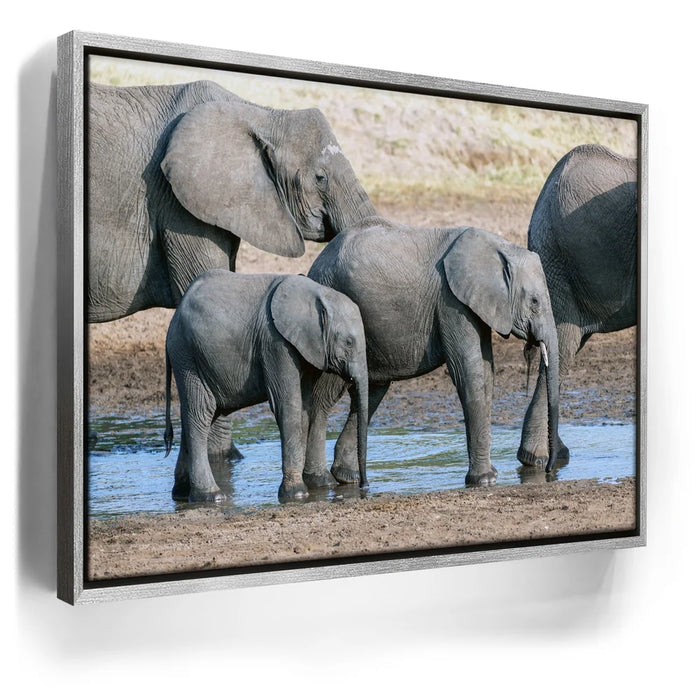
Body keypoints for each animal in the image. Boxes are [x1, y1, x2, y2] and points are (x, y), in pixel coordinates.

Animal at [163, 269, 369, 503]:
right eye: (349, 343)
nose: (364, 485)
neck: (318, 292)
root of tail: (174, 319)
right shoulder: (276, 343)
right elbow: (288, 406)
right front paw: (296, 494)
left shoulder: (304, 349)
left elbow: (304, 408)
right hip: (187, 357)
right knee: (200, 414)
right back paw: (211, 496)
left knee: (201, 414)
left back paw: (181, 494)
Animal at [304, 217, 560, 488]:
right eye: (534, 302)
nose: (549, 469)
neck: (499, 247)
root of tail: (316, 263)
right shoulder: (451, 302)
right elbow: (469, 373)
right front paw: (484, 480)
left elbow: (486, 374)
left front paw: (490, 476)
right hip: (332, 321)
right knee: (324, 397)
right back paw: (319, 482)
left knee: (371, 392)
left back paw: (349, 477)